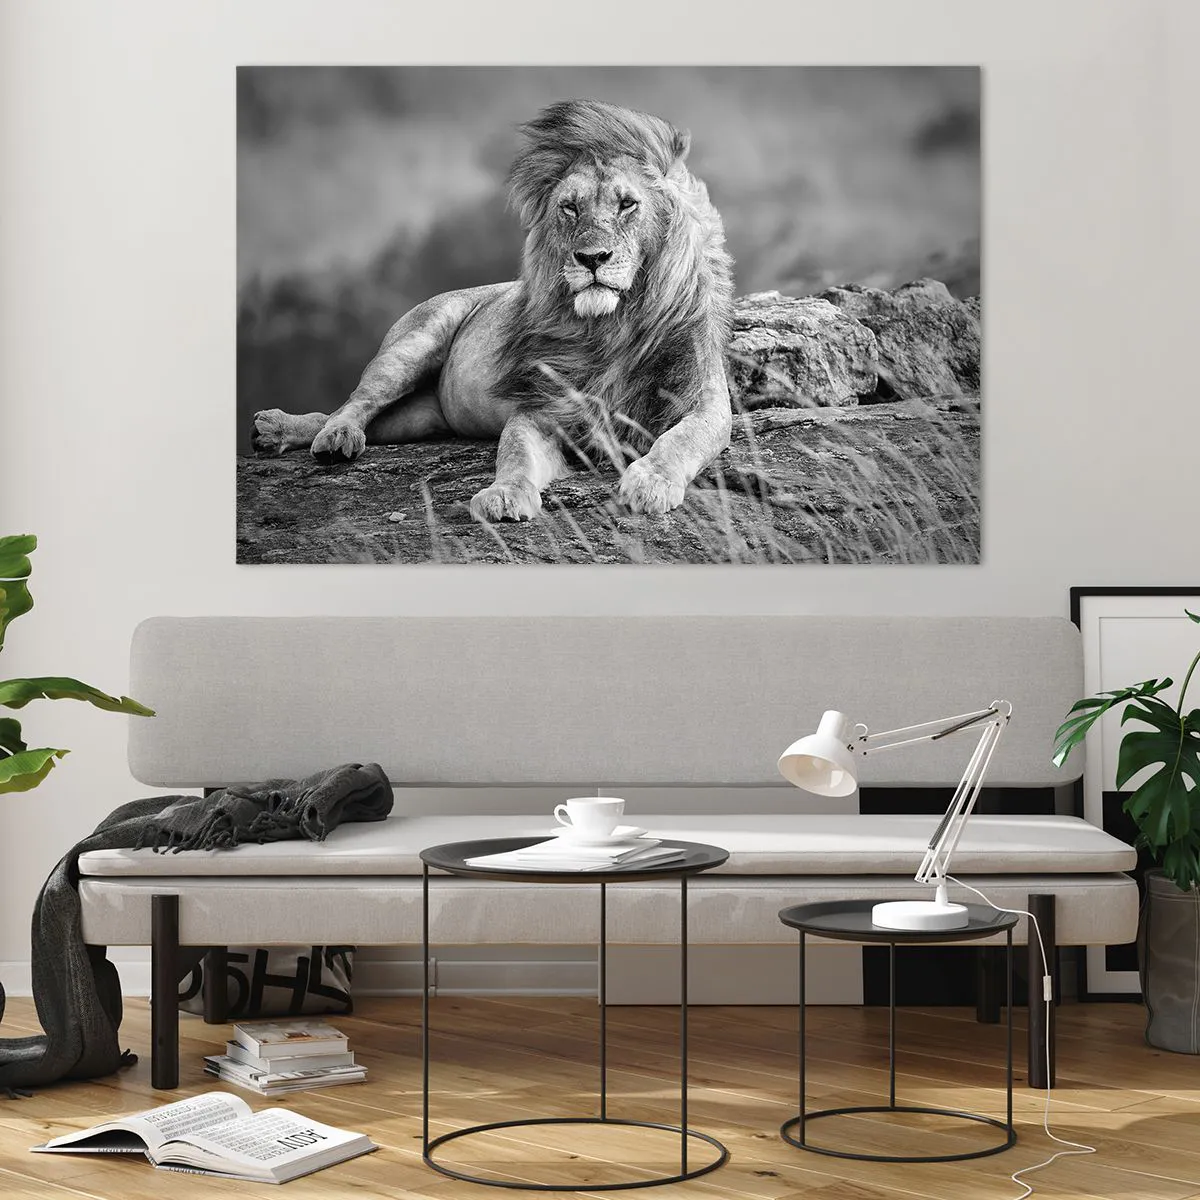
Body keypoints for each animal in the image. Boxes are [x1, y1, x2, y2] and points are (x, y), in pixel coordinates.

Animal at [252, 98, 734, 521]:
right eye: (570, 207)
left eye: (627, 203)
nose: (591, 258)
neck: (612, 326)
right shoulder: (541, 408)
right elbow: (515, 454)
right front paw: (503, 495)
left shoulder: (705, 402)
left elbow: (681, 440)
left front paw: (651, 482)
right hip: (412, 344)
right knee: (355, 403)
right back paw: (322, 435)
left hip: (419, 419)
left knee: (358, 417)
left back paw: (278, 431)